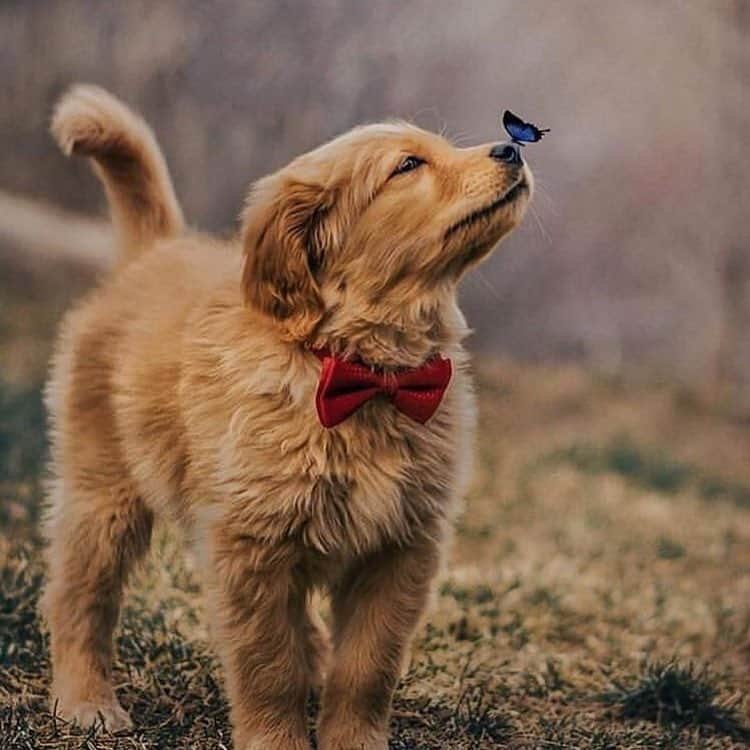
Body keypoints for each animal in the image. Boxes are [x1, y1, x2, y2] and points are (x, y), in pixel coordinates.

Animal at [42, 85, 536, 748]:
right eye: (408, 165)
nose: (513, 147)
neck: (364, 372)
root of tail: (156, 250)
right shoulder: (252, 547)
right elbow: (268, 666)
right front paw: (277, 738)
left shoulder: (402, 547)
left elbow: (367, 667)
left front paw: (353, 739)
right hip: (102, 491)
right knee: (79, 598)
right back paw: (85, 701)